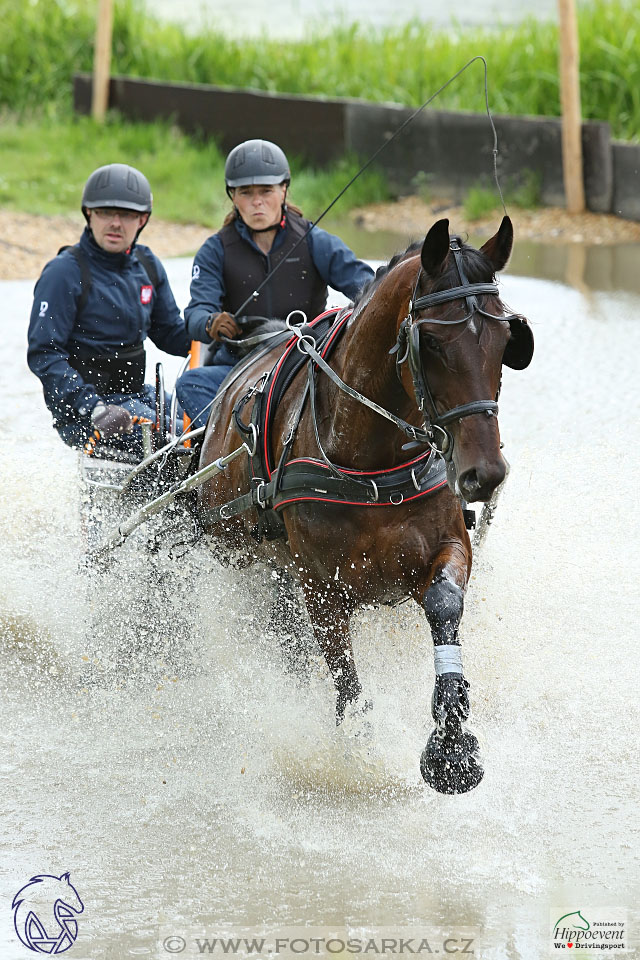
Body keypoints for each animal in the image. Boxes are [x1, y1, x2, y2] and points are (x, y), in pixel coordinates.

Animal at [196, 218, 536, 796]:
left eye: (506, 341)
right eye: (433, 343)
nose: (485, 473)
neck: (370, 460)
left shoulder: (447, 546)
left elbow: (445, 605)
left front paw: (451, 746)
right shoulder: (321, 588)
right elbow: (343, 677)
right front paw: (358, 751)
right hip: (251, 563)